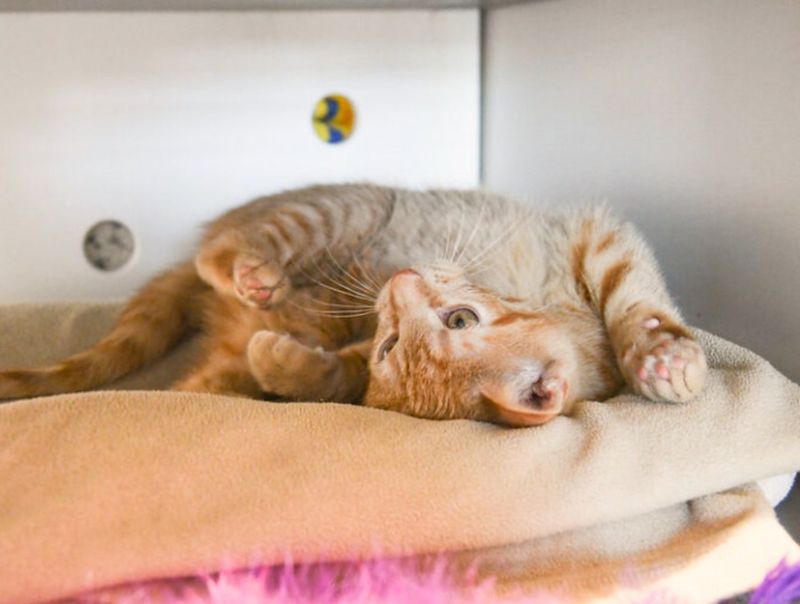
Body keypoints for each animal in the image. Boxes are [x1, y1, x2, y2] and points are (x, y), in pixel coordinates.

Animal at [0, 184, 708, 424]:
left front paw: (283, 363)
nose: (395, 284)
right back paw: (252, 272)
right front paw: (666, 353)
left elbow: (335, 376)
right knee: (221, 248)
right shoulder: (592, 235)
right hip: (338, 209)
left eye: (392, 346)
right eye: (461, 319)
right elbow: (637, 295)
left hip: (216, 375)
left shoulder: (356, 368)